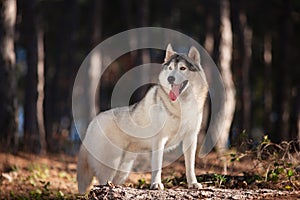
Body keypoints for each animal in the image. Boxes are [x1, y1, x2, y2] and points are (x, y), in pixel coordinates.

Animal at [77, 44, 209, 192]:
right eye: (170, 68)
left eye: (182, 68)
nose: (170, 78)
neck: (181, 107)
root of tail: (92, 123)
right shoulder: (159, 140)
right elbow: (157, 165)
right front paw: (156, 184)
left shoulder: (190, 138)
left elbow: (190, 166)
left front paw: (193, 184)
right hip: (111, 165)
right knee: (103, 181)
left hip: (123, 169)